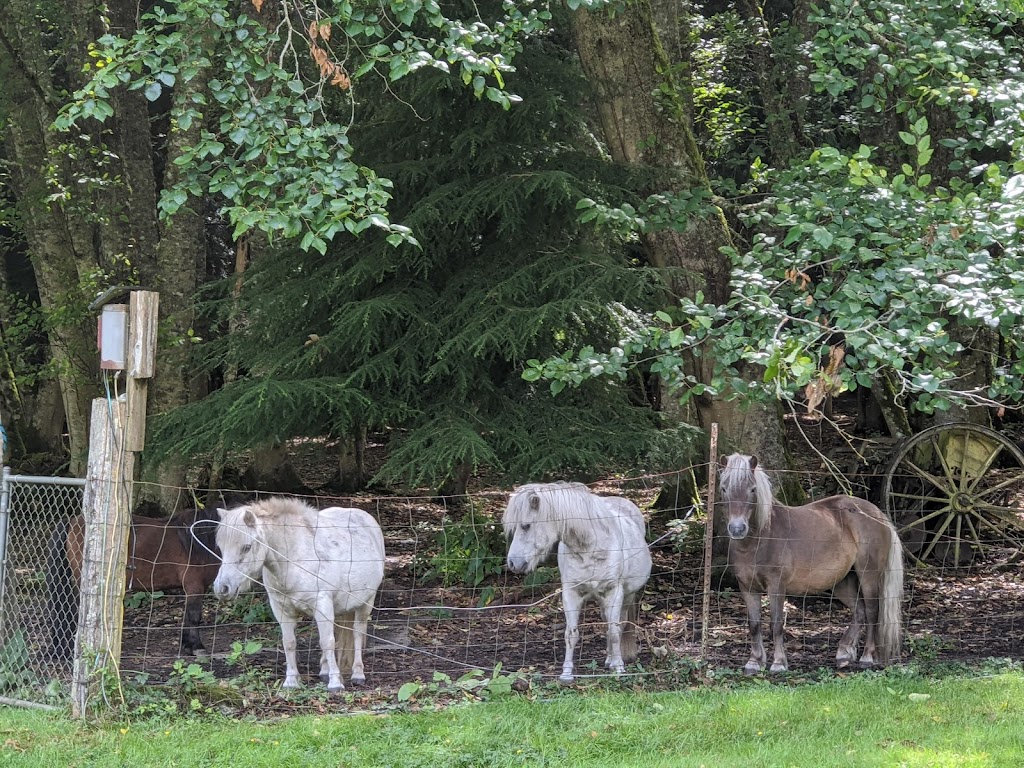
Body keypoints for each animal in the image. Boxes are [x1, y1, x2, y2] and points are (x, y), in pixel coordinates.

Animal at [211, 495, 385, 696]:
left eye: (246, 547)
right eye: (220, 547)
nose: (222, 588)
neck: (294, 558)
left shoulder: (322, 605)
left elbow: (327, 642)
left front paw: (335, 684)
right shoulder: (281, 609)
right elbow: (289, 642)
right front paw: (291, 681)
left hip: (366, 602)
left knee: (357, 632)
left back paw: (357, 674)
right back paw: (324, 670)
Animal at [499, 481, 651, 684]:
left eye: (526, 526)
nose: (513, 563)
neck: (591, 546)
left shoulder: (614, 592)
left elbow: (614, 631)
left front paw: (619, 668)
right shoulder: (571, 594)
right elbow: (571, 634)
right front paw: (566, 674)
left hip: (626, 596)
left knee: (619, 625)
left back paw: (613, 661)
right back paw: (609, 658)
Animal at [720, 454, 905, 675]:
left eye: (753, 489)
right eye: (723, 488)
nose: (737, 529)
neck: (759, 541)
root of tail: (877, 514)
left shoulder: (776, 586)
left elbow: (776, 624)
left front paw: (779, 663)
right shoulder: (747, 587)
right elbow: (754, 625)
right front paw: (754, 662)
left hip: (868, 575)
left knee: (871, 612)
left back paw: (867, 657)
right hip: (842, 581)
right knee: (859, 611)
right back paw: (844, 653)